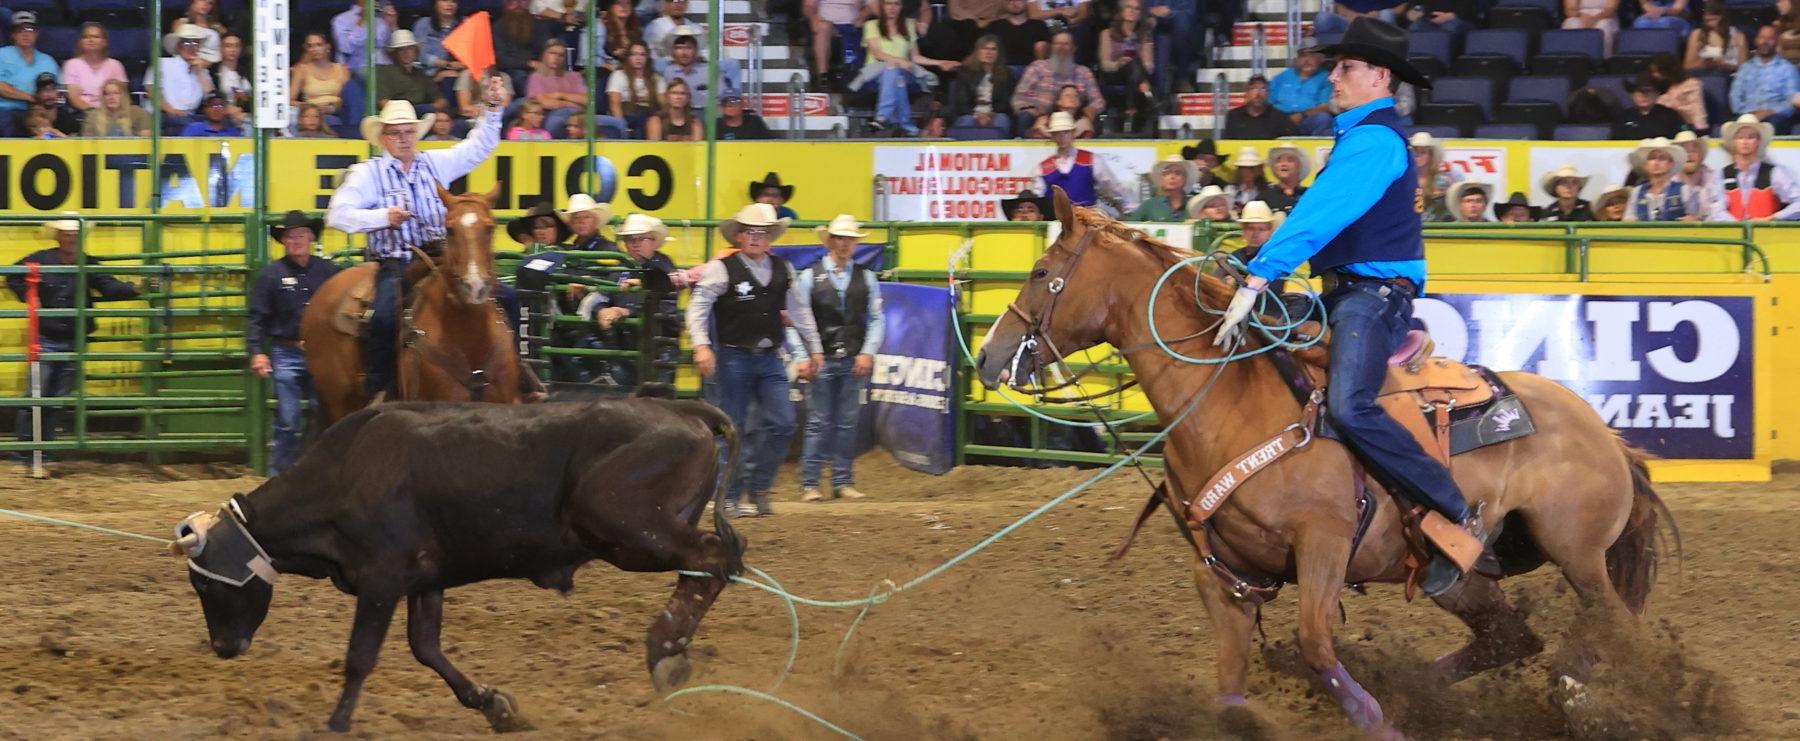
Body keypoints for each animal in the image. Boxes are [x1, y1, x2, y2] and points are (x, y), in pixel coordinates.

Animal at [972, 189, 1670, 733]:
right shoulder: (1222, 574)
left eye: (1040, 270)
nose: (986, 355)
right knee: (1512, 637)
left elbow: (1316, 647)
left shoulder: (1324, 543)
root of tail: (1606, 435)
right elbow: (1230, 693)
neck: (1227, 401)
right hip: (1463, 575)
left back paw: (1580, 695)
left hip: (1576, 552)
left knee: (1612, 629)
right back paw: (1430, 687)